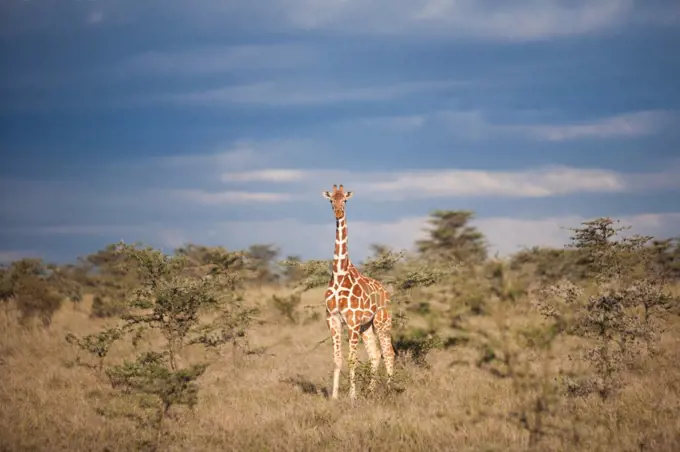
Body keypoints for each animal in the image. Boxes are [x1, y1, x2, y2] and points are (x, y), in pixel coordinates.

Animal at [322, 183, 396, 400]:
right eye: (331, 200)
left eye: (345, 200)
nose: (338, 212)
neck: (339, 274)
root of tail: (386, 292)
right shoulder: (333, 319)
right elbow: (337, 359)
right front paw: (334, 396)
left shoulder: (352, 322)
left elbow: (352, 359)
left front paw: (352, 397)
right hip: (367, 326)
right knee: (375, 355)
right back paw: (371, 391)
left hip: (382, 322)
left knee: (388, 352)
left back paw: (389, 389)